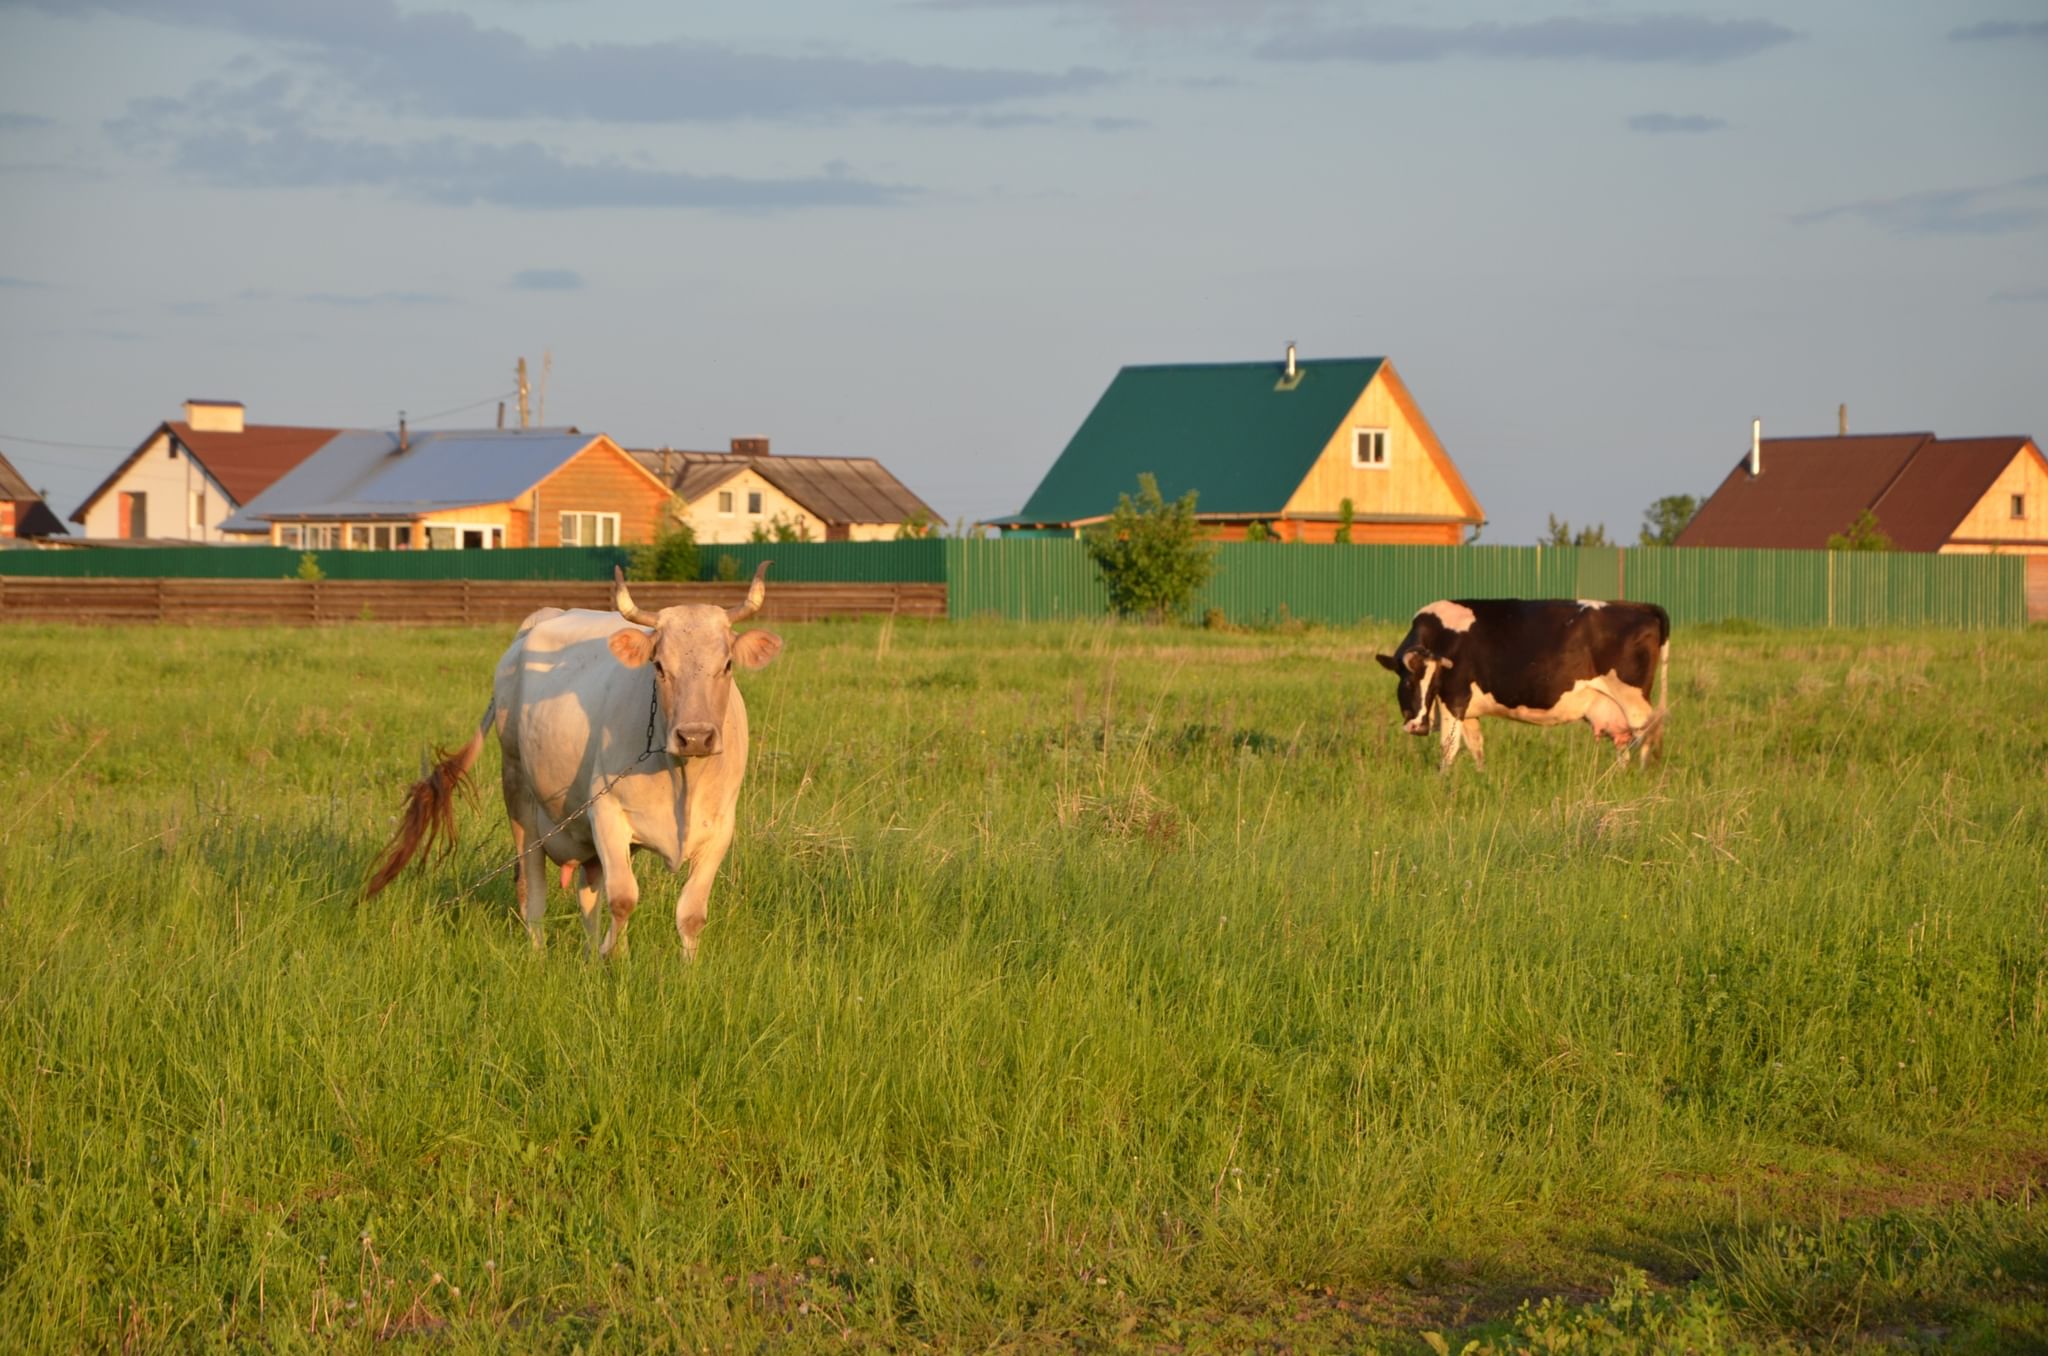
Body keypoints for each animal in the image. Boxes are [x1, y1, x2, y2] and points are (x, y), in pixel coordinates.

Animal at [364, 569, 778, 962]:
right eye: (659, 666)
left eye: (727, 665)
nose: (694, 736)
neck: (683, 777)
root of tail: (542, 618)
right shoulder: (607, 813)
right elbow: (623, 899)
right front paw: (615, 960)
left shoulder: (720, 829)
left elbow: (690, 913)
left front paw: (680, 971)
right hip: (519, 794)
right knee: (532, 887)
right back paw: (539, 955)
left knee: (588, 894)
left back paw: (591, 955)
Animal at [1376, 602, 1679, 770]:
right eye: (1407, 680)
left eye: (1433, 683)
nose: (1418, 726)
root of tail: (1642, 607)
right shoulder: (1468, 709)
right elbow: (1476, 746)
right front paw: (1481, 775)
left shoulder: (1454, 697)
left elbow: (1448, 748)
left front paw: (1444, 783)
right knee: (1625, 745)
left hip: (1635, 704)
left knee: (1647, 740)